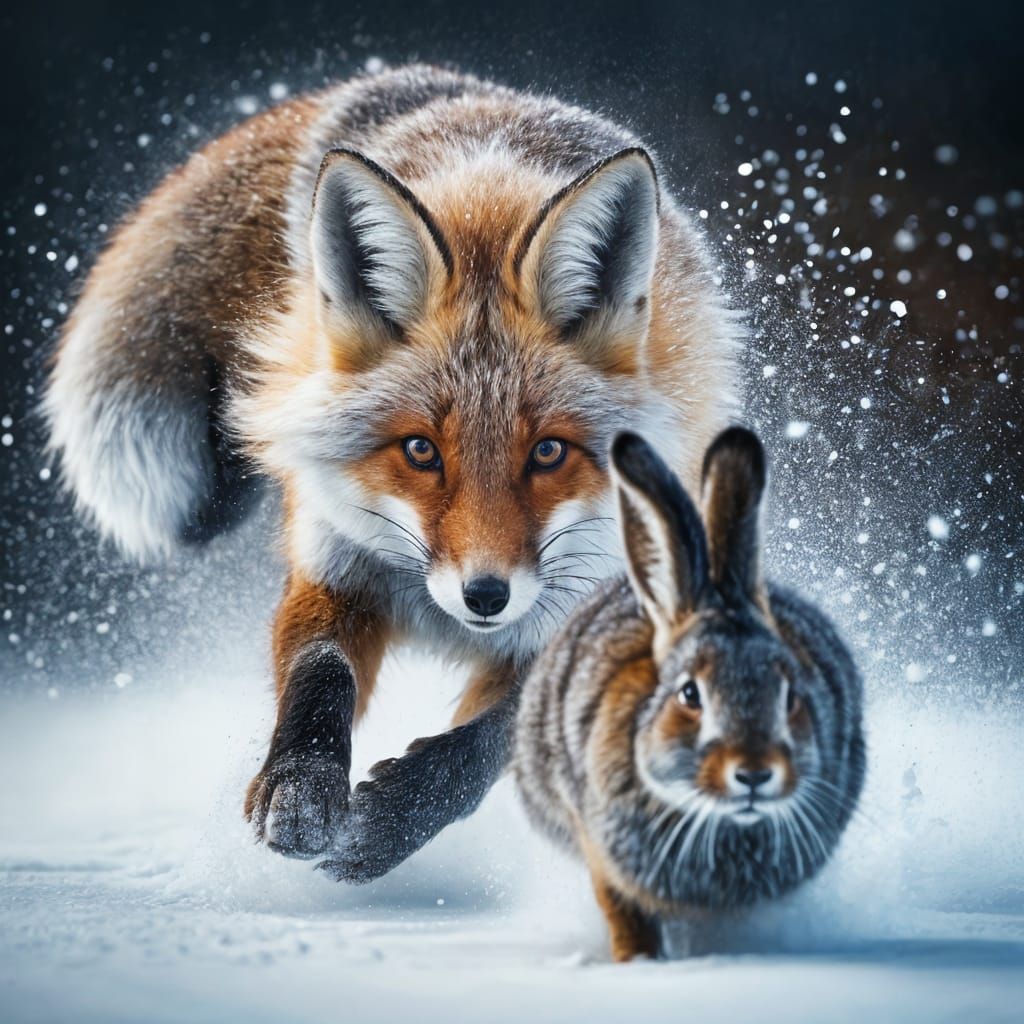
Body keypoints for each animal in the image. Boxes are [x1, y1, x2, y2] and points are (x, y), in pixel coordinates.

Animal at [45, 63, 740, 881]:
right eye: (420, 450)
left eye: (547, 452)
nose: (484, 596)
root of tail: (425, 83)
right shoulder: (334, 560)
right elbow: (319, 676)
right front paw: (301, 788)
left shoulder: (592, 623)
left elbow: (487, 744)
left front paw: (390, 824)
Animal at [514, 427, 865, 962]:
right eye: (689, 695)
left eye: (790, 696)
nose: (754, 772)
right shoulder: (601, 848)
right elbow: (624, 912)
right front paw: (639, 962)